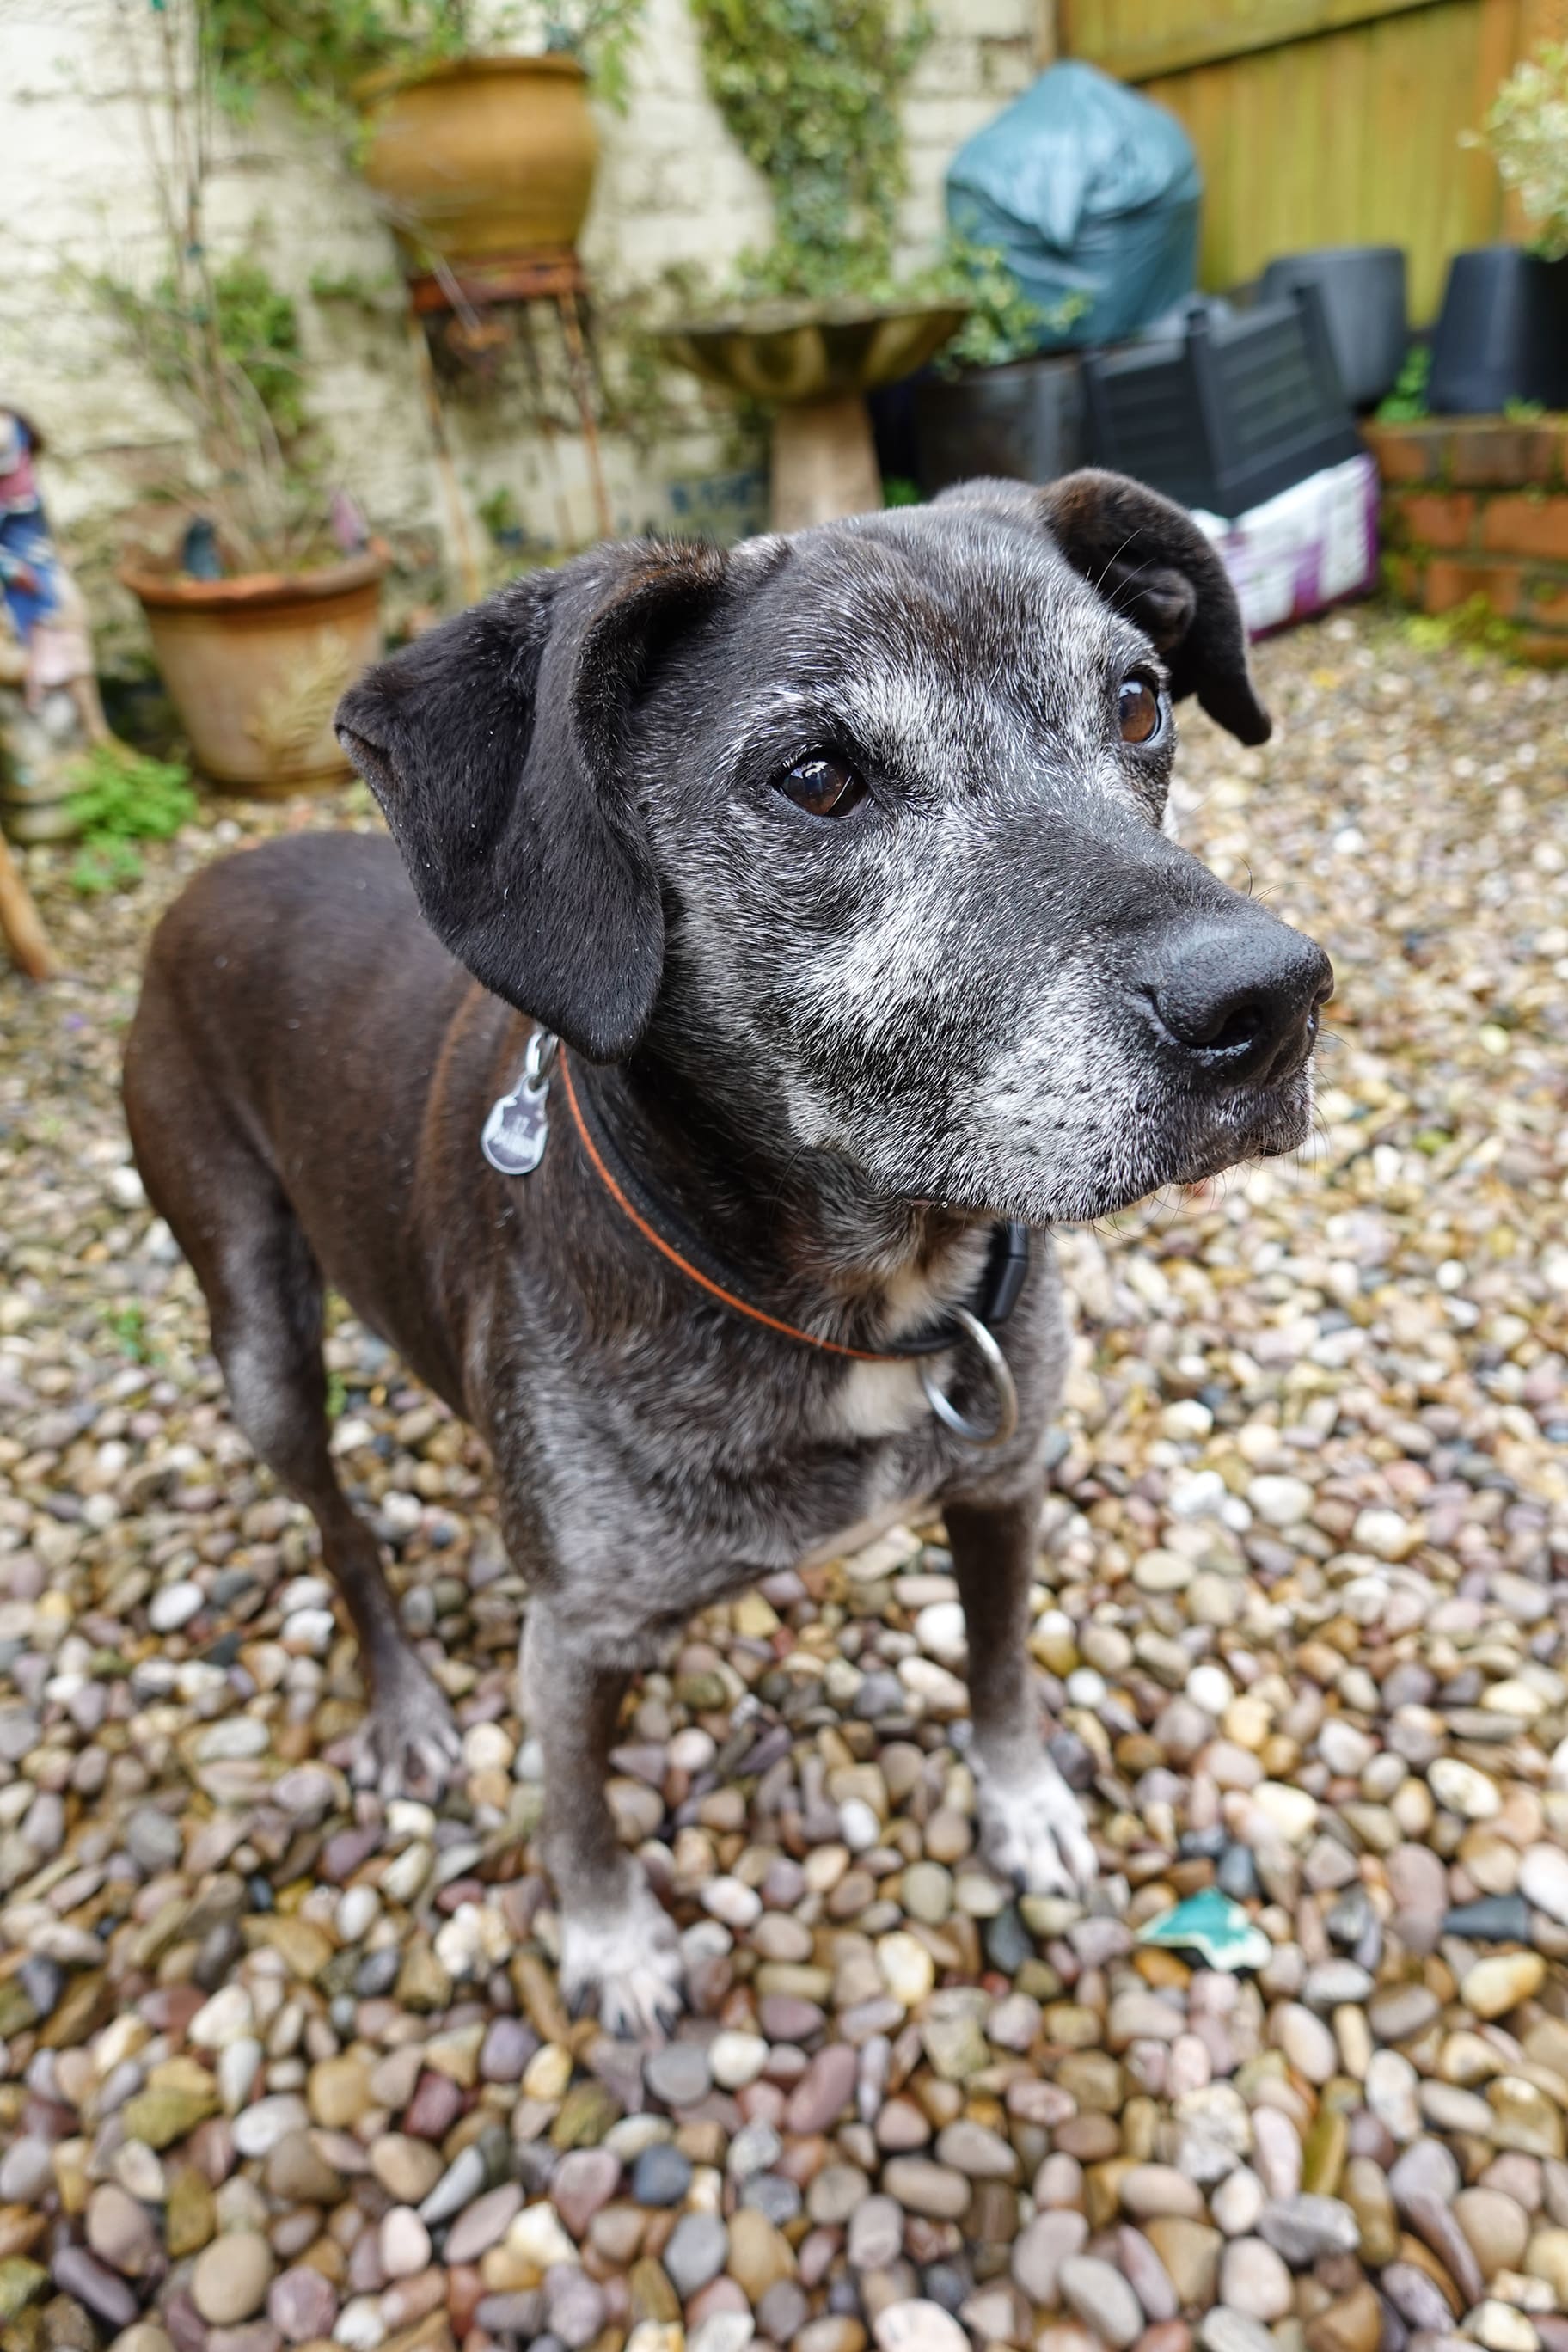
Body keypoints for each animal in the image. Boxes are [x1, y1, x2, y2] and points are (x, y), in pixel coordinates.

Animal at [122, 468, 1335, 2031]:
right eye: (816, 776)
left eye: (1135, 702)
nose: (1268, 1001)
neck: (868, 1295)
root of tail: (209, 878)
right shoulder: (577, 1634)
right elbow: (576, 1810)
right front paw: (613, 1945)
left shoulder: (1002, 1486)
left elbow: (999, 1673)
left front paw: (1020, 1804)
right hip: (254, 1333)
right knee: (334, 1525)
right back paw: (401, 1705)